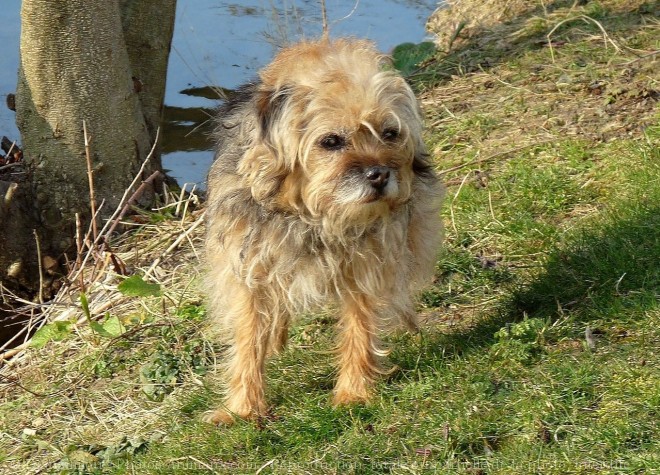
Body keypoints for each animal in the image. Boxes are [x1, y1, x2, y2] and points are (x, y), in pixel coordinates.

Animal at [204, 37, 446, 424]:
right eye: (331, 141)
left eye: (389, 133)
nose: (380, 174)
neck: (314, 218)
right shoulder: (248, 269)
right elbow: (248, 337)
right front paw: (242, 407)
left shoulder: (367, 266)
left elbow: (360, 328)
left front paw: (353, 392)